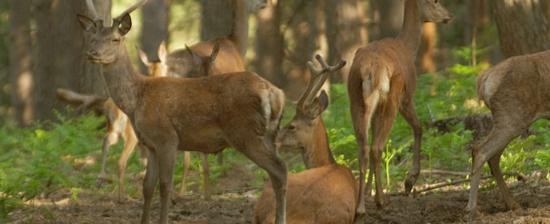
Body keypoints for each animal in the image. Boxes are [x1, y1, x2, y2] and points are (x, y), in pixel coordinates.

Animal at [78, 0, 292, 223]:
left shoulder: (167, 138)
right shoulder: (150, 144)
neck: (137, 101)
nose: (92, 53)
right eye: (92, 38)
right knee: (277, 172)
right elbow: (147, 187)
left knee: (280, 169)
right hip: (269, 134)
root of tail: (276, 93)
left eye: (115, 39)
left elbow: (165, 186)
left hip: (245, 133)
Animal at [350, 0, 452, 219]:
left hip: (355, 99)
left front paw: (369, 190)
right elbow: (419, 127)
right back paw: (381, 201)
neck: (407, 47)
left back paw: (360, 207)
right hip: (392, 98)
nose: (449, 15)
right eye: (435, 1)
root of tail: (369, 69)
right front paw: (409, 180)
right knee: (377, 146)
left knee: (364, 147)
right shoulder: (407, 97)